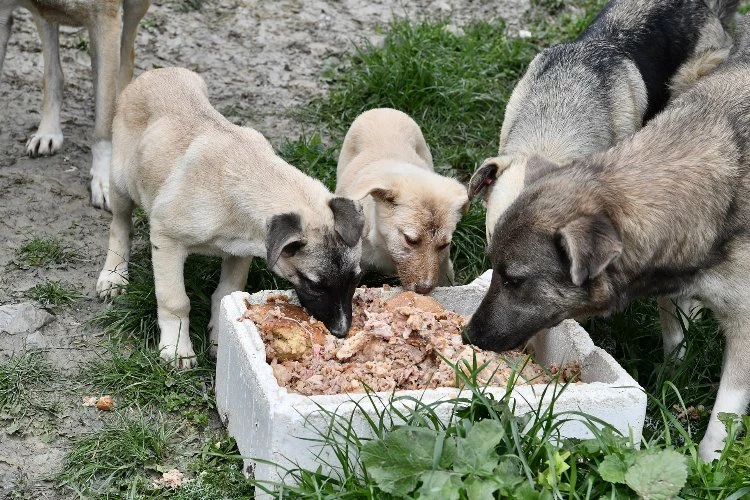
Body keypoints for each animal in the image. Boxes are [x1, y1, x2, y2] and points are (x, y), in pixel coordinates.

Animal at [0, 0, 153, 210]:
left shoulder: (105, 21)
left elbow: (103, 126)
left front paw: (104, 181)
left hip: (135, 10)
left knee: (125, 63)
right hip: (46, 17)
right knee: (54, 73)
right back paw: (47, 132)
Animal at [336, 106, 468, 292]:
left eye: (444, 244)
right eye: (410, 240)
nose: (424, 289)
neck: (384, 247)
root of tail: (383, 109)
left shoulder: (444, 266)